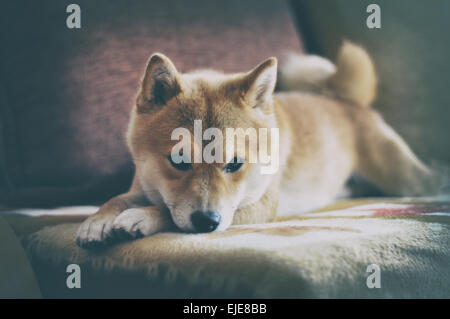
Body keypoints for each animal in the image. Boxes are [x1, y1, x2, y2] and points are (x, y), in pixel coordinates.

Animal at [75, 40, 438, 250]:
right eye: (178, 160)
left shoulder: (257, 207)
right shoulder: (141, 187)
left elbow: (166, 210)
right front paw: (97, 220)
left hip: (404, 178)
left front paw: (142, 217)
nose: (207, 222)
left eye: (235, 164)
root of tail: (346, 101)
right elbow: (117, 199)